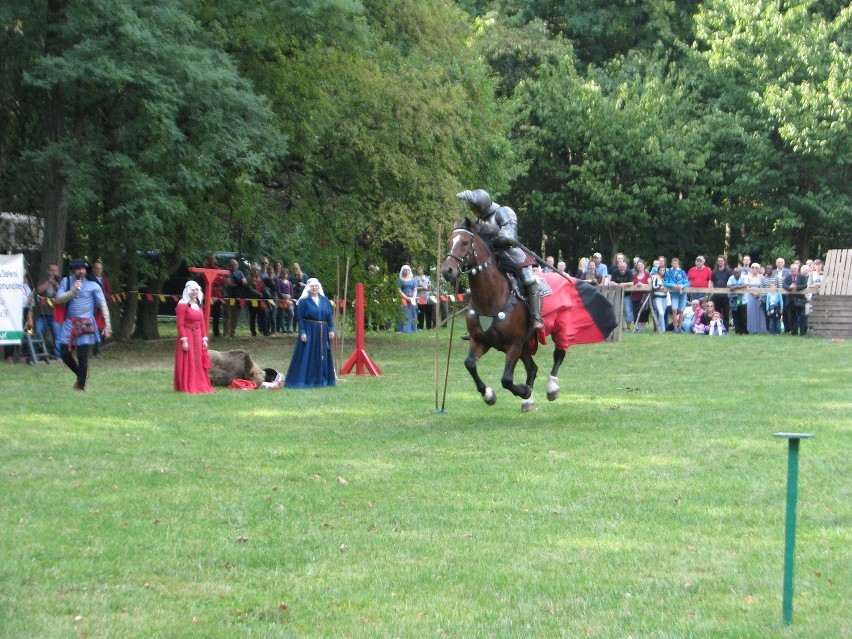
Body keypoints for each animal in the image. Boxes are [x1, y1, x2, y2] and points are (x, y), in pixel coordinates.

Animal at [442, 218, 616, 412]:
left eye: (465, 243)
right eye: (448, 242)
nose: (447, 271)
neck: (492, 298)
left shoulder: (514, 344)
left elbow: (506, 379)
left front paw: (523, 391)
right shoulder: (481, 341)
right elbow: (470, 364)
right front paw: (489, 395)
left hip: (561, 327)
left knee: (558, 354)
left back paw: (551, 388)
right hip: (526, 344)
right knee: (532, 368)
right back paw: (528, 401)